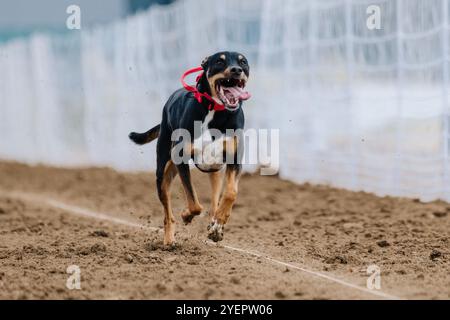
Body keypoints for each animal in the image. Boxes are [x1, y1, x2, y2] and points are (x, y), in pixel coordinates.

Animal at [128, 52, 251, 245]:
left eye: (243, 61)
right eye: (219, 61)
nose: (236, 70)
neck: (215, 110)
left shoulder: (234, 158)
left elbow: (231, 193)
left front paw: (218, 224)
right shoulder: (181, 159)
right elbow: (194, 203)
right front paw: (186, 215)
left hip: (213, 170)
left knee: (215, 200)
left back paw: (214, 224)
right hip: (162, 171)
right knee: (167, 212)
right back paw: (169, 240)